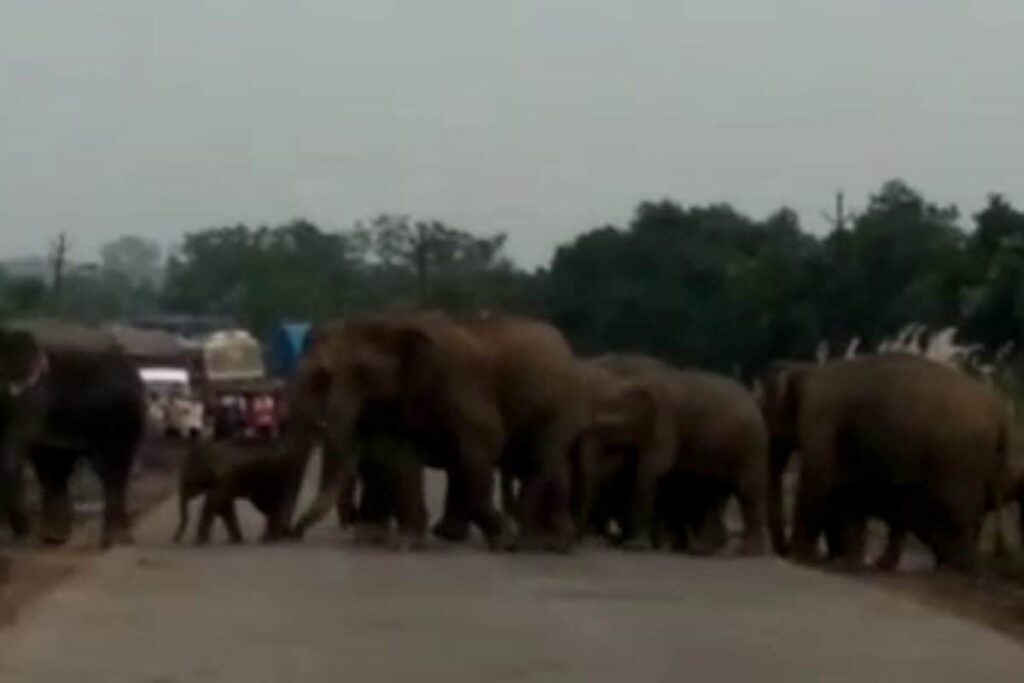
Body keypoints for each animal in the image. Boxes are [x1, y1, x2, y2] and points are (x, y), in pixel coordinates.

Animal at [0, 323, 144, 548]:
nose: (23, 534)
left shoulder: (36, 399)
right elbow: (46, 464)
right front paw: (51, 538)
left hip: (124, 418)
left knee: (112, 469)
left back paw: (115, 539)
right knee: (61, 468)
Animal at [284, 313, 589, 552]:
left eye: (323, 378)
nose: (293, 534)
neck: (388, 323)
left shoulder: (461, 382)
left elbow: (486, 438)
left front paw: (504, 541)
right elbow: (400, 455)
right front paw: (403, 542)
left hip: (563, 406)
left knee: (545, 458)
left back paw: (545, 543)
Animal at [577, 352, 770, 557]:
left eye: (606, 424)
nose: (583, 541)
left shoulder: (666, 423)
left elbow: (650, 472)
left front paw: (635, 546)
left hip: (752, 444)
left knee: (748, 491)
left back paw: (748, 552)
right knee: (714, 491)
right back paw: (702, 548)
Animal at [757, 352, 1011, 573]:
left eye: (765, 411)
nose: (783, 549)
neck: (806, 370)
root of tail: (1000, 414)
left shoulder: (820, 420)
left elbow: (816, 483)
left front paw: (799, 557)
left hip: (961, 459)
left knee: (960, 513)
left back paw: (956, 568)